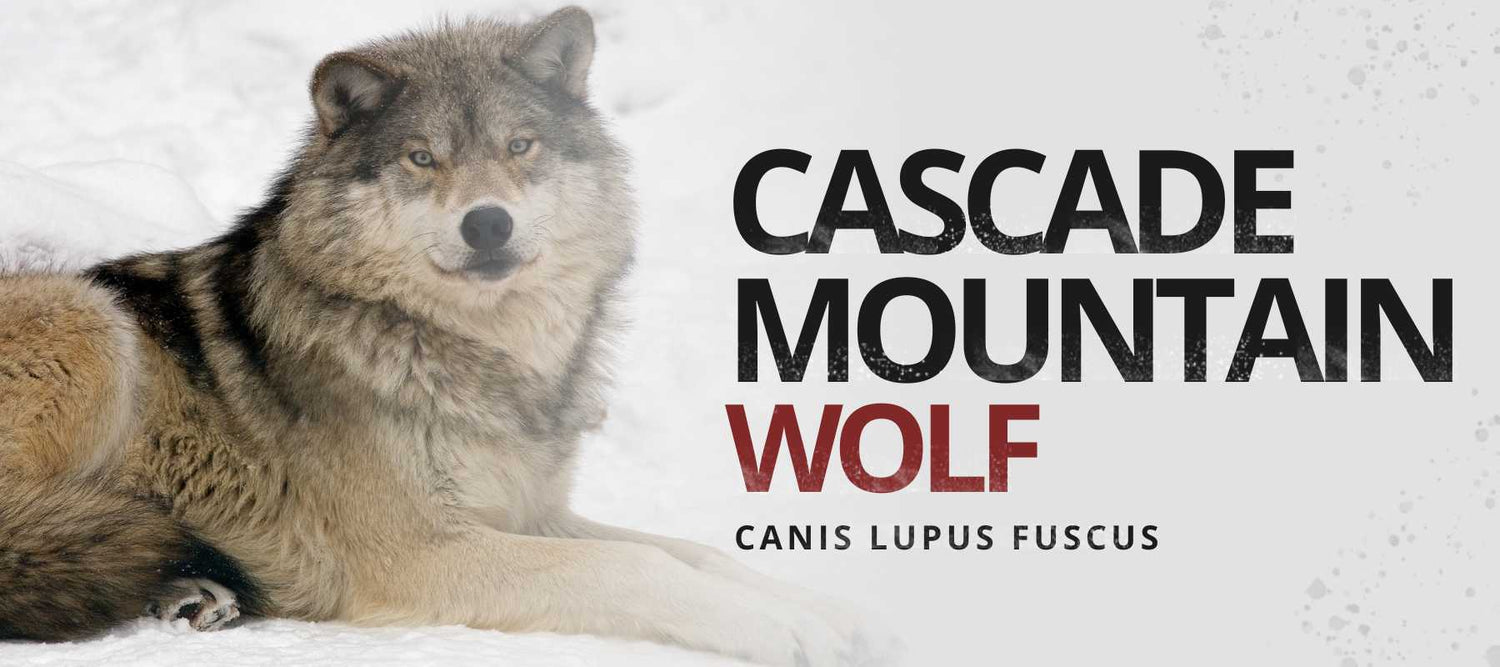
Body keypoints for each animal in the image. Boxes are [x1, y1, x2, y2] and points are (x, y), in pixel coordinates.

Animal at [0, 8, 878, 665]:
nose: (487, 223)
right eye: (423, 158)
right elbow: (637, 562)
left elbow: (700, 553)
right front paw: (785, 629)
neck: (477, 356)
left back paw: (186, 589)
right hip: (93, 322)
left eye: (519, 146)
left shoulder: (528, 511)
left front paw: (828, 610)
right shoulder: (421, 551)